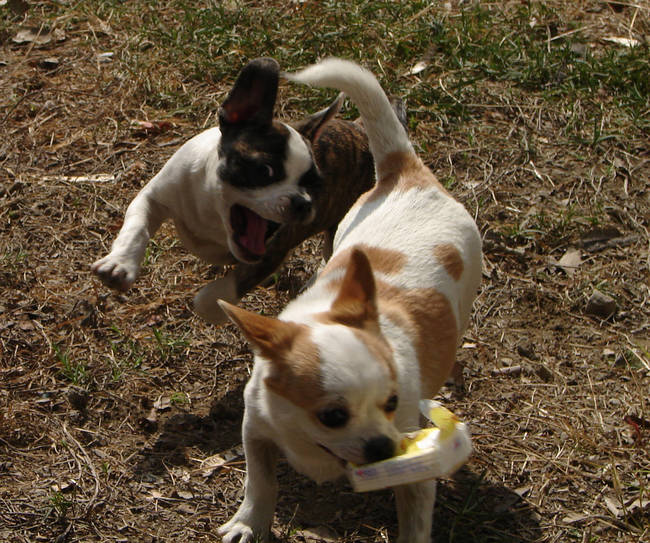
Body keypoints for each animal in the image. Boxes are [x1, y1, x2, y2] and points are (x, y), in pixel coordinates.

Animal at [215, 58, 478, 543]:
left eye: (393, 403)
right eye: (333, 416)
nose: (384, 445)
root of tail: (405, 171)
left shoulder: (415, 476)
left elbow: (415, 523)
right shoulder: (256, 428)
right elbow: (261, 481)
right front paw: (249, 523)